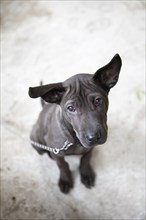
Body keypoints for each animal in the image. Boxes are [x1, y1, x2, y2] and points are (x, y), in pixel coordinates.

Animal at [28, 54, 122, 193]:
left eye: (98, 100)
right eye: (71, 108)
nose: (94, 137)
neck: (74, 139)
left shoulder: (89, 149)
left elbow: (85, 159)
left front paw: (86, 174)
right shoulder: (58, 154)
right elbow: (62, 165)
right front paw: (65, 179)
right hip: (37, 142)